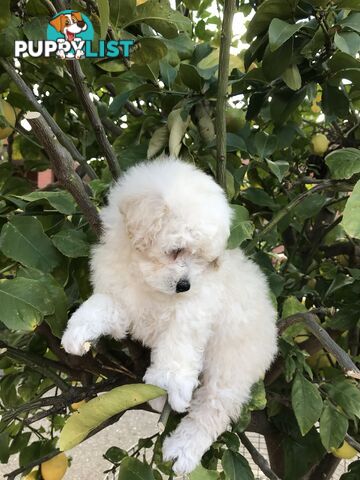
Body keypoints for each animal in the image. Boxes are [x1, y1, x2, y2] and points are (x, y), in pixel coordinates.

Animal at [62, 157, 278, 472]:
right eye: (176, 251)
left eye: (202, 258)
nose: (184, 284)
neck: (146, 280)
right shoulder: (121, 297)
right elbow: (101, 306)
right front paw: (76, 332)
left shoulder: (193, 310)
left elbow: (178, 345)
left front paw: (170, 382)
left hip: (232, 361)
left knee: (212, 408)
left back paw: (183, 449)